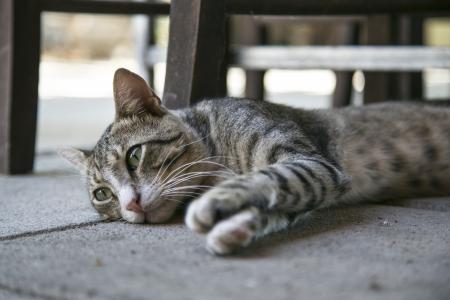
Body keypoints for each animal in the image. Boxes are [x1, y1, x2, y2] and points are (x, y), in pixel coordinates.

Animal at [60, 68, 450, 255]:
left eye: (135, 155)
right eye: (102, 194)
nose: (131, 204)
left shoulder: (312, 163)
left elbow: (272, 177)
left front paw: (214, 205)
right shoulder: (318, 182)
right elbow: (282, 202)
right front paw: (235, 228)